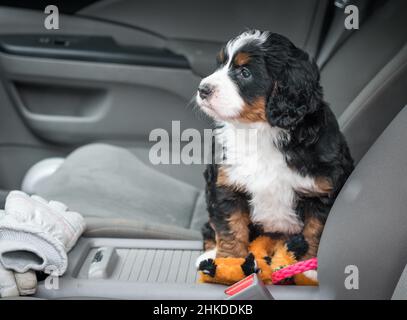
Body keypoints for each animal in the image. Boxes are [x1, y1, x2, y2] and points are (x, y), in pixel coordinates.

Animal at [195, 29, 354, 280]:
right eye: (220, 64)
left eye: (245, 72)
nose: (203, 89)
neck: (261, 131)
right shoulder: (224, 183)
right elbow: (230, 227)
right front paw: (229, 264)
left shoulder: (322, 191)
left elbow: (314, 231)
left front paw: (308, 268)